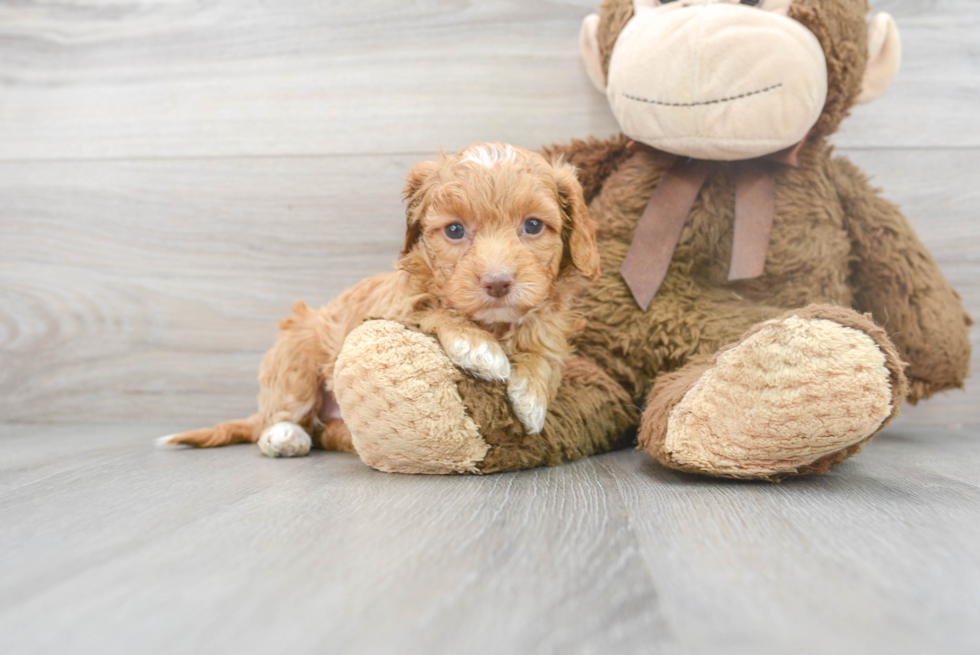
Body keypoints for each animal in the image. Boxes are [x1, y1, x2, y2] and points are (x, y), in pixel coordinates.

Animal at [163, 142, 596, 462]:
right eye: (455, 230)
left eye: (533, 225)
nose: (498, 282)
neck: (496, 322)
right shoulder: (396, 305)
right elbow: (433, 309)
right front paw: (477, 347)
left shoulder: (549, 322)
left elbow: (542, 348)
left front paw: (533, 397)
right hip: (296, 352)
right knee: (285, 412)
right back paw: (284, 437)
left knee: (328, 434)